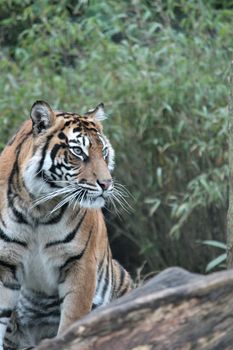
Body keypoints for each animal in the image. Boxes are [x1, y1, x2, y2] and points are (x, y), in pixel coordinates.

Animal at [0, 100, 132, 348]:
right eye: (78, 151)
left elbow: (73, 322)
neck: (38, 208)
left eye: (104, 151)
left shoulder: (80, 264)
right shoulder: (5, 263)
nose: (106, 183)